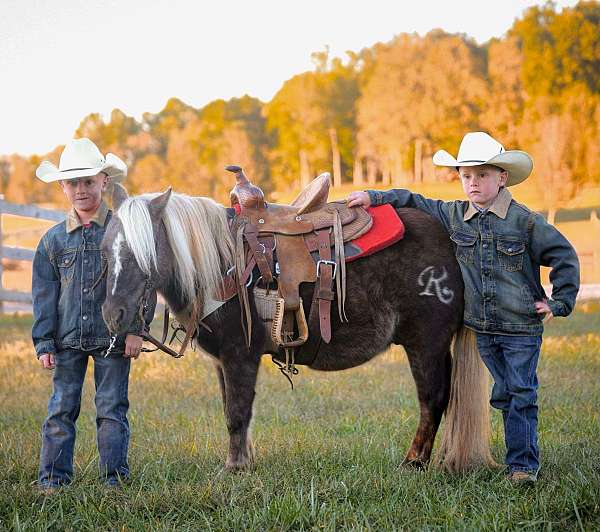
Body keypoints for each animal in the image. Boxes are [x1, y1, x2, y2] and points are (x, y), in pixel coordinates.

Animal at [101, 185, 494, 472]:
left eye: (145, 252)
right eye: (105, 250)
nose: (113, 315)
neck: (221, 263)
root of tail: (452, 240)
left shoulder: (240, 355)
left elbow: (237, 412)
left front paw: (235, 468)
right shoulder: (222, 362)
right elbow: (233, 408)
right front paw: (243, 460)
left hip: (427, 343)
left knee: (433, 399)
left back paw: (414, 462)